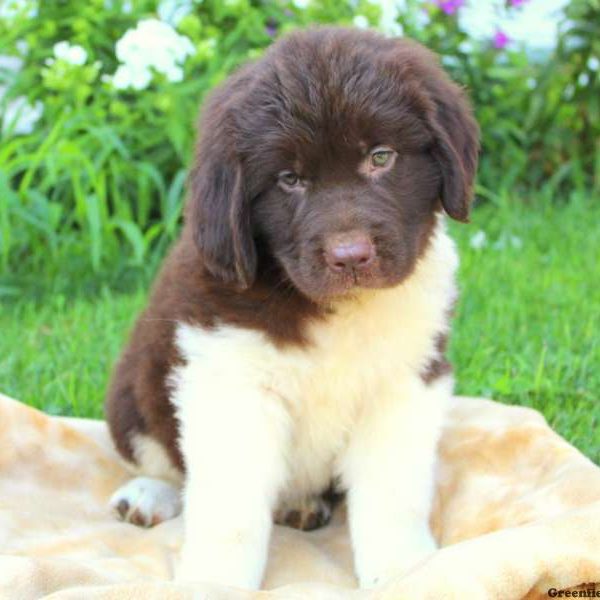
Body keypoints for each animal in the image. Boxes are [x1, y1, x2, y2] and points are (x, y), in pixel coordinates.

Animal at [103, 27, 478, 592]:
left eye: (381, 157)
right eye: (289, 180)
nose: (350, 257)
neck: (335, 311)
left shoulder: (406, 382)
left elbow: (393, 494)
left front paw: (403, 573)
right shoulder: (228, 382)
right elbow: (230, 512)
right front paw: (215, 584)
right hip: (133, 391)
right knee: (163, 460)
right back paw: (148, 494)